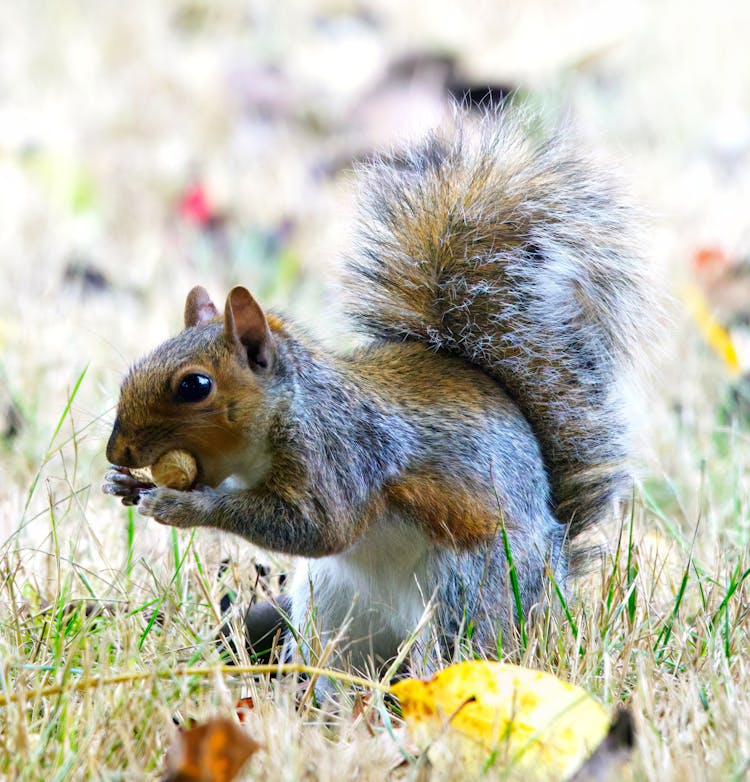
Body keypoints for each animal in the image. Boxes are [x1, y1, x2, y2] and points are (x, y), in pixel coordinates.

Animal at [103, 105, 656, 672]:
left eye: (196, 386)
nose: (117, 451)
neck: (287, 413)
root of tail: (552, 574)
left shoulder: (343, 454)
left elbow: (320, 526)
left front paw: (180, 507)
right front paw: (126, 485)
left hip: (464, 596)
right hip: (330, 608)